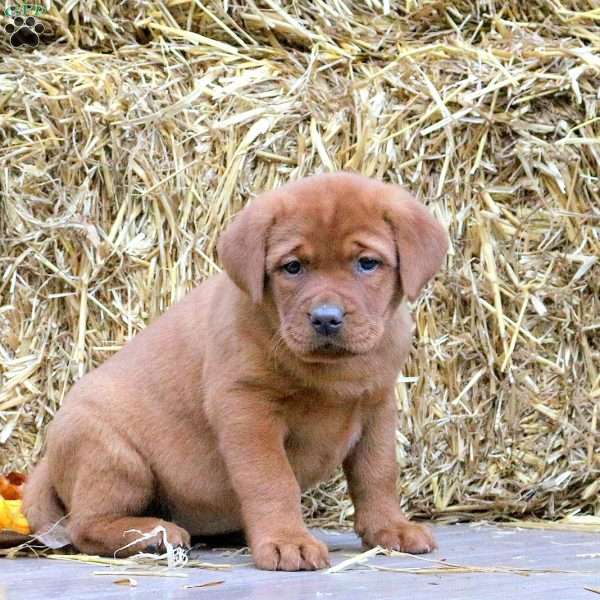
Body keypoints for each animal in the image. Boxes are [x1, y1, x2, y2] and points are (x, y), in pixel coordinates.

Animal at [23, 171, 448, 568]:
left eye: (367, 263)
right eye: (293, 267)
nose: (326, 319)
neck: (332, 372)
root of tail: (48, 456)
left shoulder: (377, 406)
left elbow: (378, 474)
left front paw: (389, 528)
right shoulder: (246, 407)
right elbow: (271, 481)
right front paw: (287, 541)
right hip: (114, 455)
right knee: (86, 525)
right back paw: (154, 534)